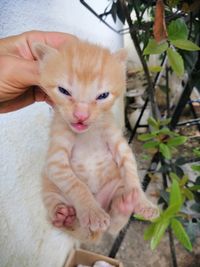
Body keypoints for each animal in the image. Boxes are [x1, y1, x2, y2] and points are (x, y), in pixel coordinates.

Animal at [31, 36, 159, 244]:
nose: (81, 116)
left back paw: (125, 204)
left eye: (103, 95)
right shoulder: (55, 162)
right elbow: (76, 184)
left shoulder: (120, 144)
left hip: (116, 187)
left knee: (114, 226)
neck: (87, 133)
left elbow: (131, 174)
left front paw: (142, 201)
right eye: (64, 91)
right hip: (50, 188)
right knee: (69, 219)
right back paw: (64, 216)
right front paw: (92, 212)